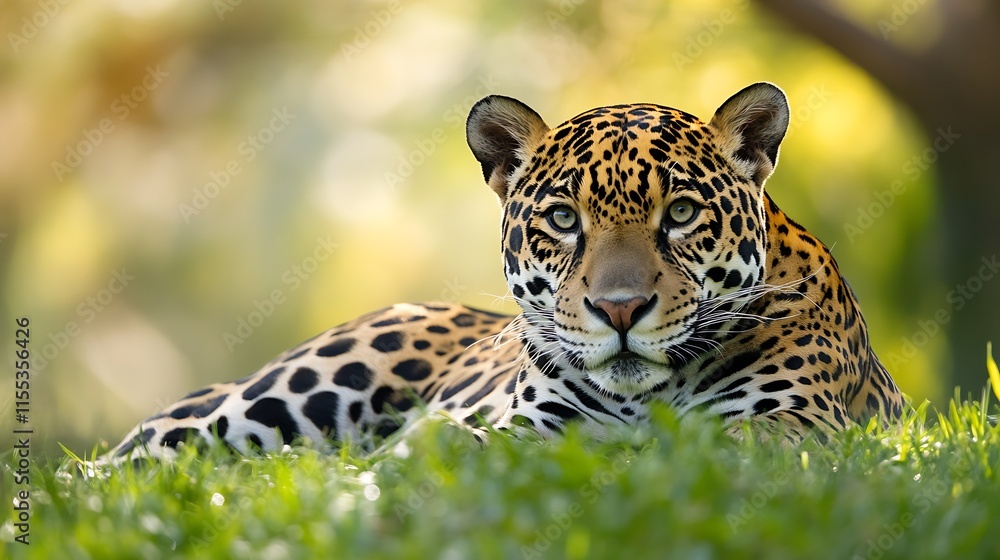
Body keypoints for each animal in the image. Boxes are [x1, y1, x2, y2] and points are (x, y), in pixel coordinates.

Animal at [104, 82, 904, 462]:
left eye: (679, 213)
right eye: (563, 219)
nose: (620, 309)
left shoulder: (795, 426)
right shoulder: (530, 425)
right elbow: (489, 441)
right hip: (290, 389)